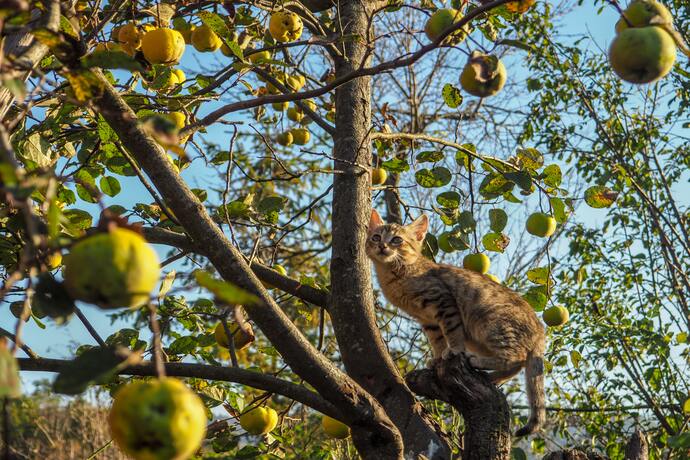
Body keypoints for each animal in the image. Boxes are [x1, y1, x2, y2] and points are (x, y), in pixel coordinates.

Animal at [362, 208, 544, 434]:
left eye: (397, 240)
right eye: (376, 237)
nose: (382, 246)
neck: (396, 274)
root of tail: (540, 330)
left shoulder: (443, 302)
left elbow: (452, 332)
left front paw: (454, 350)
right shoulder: (428, 320)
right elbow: (438, 340)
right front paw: (438, 358)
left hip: (491, 325)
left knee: (516, 357)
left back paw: (478, 363)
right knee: (517, 366)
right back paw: (492, 377)